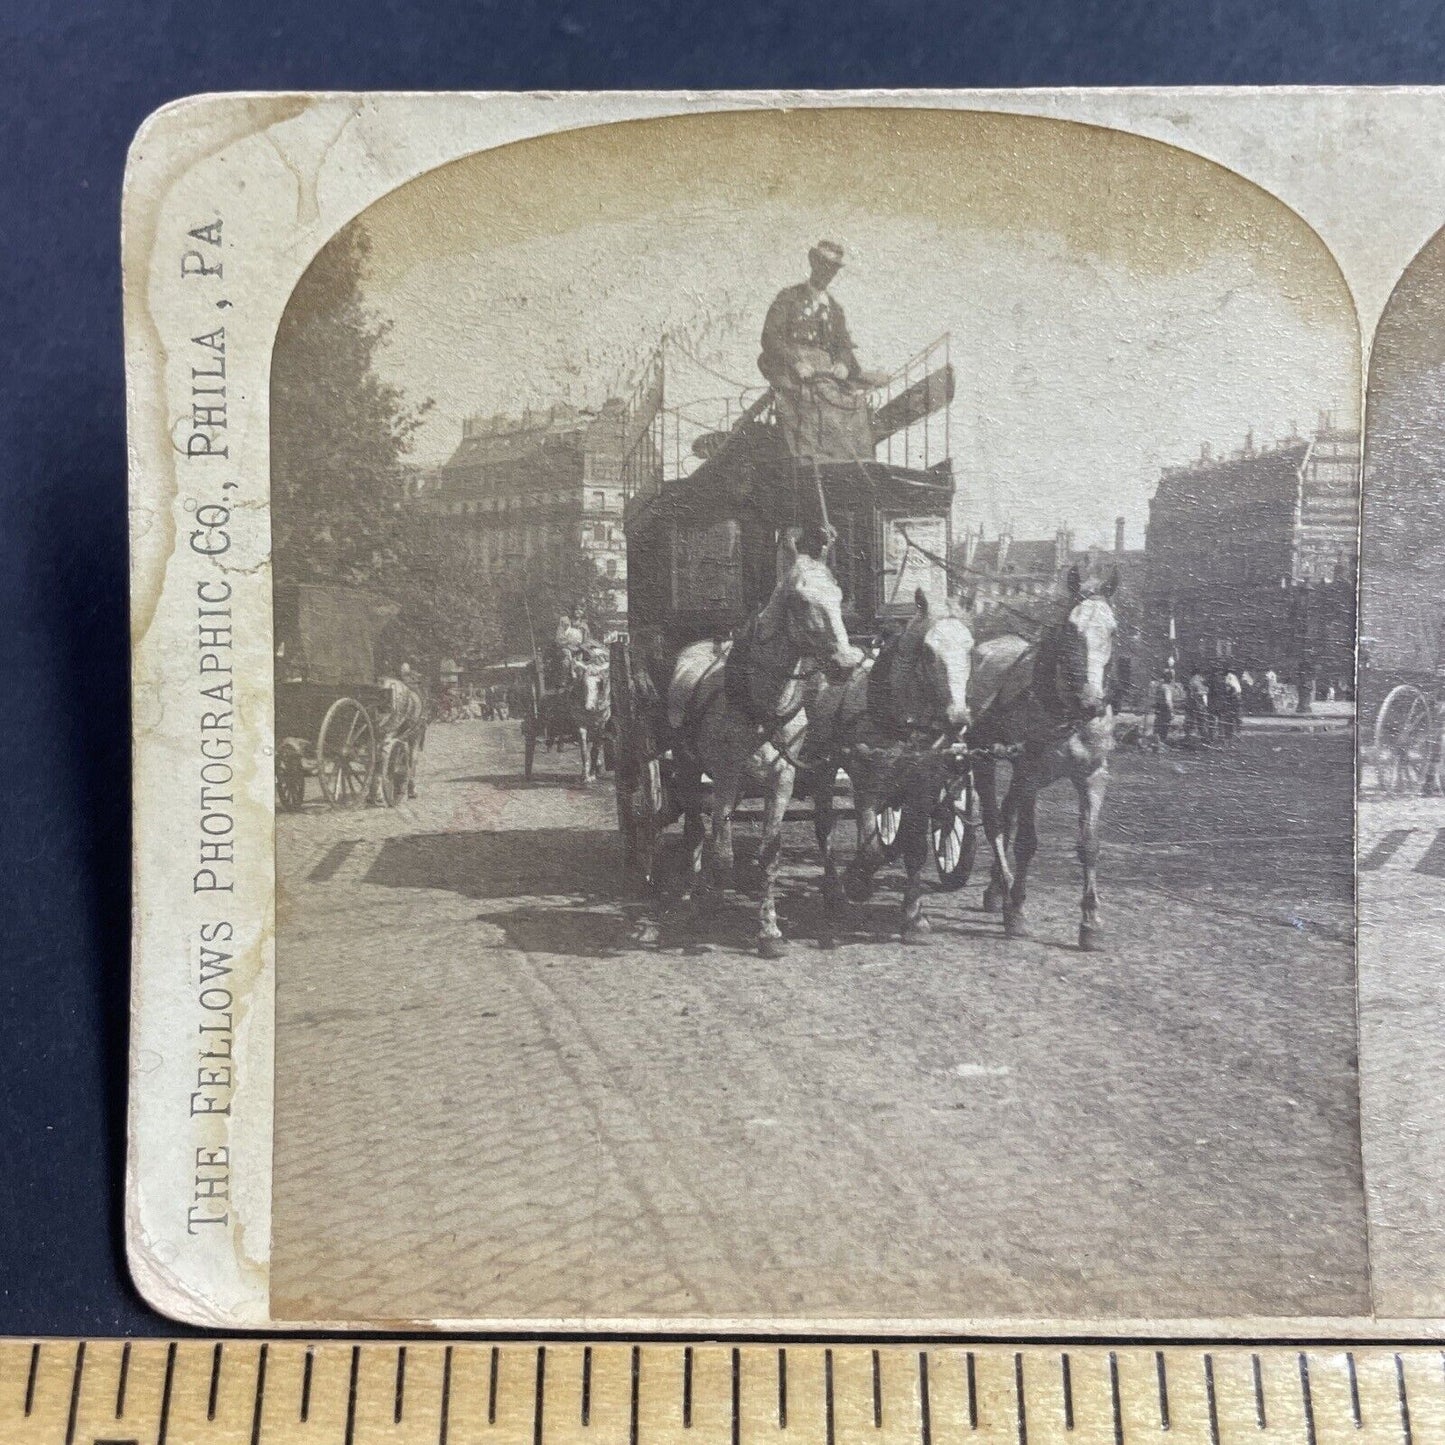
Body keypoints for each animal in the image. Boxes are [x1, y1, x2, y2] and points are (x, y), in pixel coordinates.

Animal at [670, 531, 861, 959]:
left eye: (840, 596)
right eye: (801, 601)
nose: (846, 662)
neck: (760, 704)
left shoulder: (782, 779)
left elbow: (769, 855)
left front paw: (769, 930)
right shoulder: (725, 776)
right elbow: (723, 853)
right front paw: (712, 903)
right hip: (689, 767)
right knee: (695, 827)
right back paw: (689, 892)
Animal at [809, 589, 976, 942]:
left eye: (970, 649)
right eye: (928, 652)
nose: (957, 719)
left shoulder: (923, 787)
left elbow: (914, 849)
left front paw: (913, 916)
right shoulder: (866, 783)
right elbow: (871, 848)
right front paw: (857, 882)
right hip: (822, 767)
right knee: (824, 826)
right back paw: (834, 890)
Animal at [965, 569, 1121, 953]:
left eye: (1113, 630)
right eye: (1070, 629)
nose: (1092, 702)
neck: (1067, 712)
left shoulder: (1093, 776)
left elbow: (1089, 845)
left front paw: (1091, 921)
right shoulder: (1030, 773)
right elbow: (1026, 843)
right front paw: (1018, 910)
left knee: (1006, 815)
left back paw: (996, 889)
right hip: (984, 759)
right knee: (995, 822)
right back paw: (1006, 893)